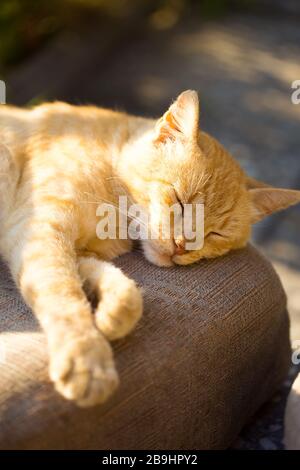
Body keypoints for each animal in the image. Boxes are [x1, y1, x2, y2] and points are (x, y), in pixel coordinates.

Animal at [0, 90, 300, 406]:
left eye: (216, 233)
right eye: (180, 200)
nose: (181, 246)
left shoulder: (78, 255)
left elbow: (123, 291)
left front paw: (112, 317)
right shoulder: (39, 233)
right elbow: (64, 295)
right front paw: (87, 360)